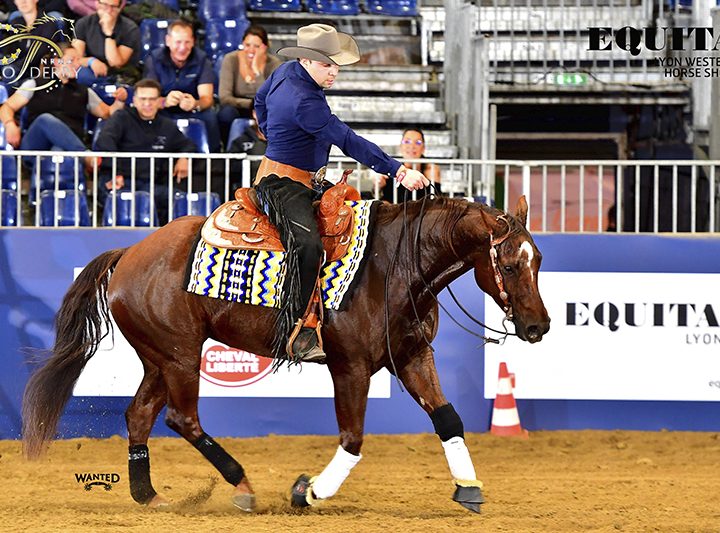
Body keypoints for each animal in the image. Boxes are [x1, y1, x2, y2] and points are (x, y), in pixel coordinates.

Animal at [23, 194, 552, 512]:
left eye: (539, 260)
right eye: (509, 264)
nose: (538, 326)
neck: (395, 266)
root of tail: (129, 253)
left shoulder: (413, 357)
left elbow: (448, 419)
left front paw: (468, 488)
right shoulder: (351, 367)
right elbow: (353, 439)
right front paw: (309, 491)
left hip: (159, 358)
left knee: (139, 415)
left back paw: (148, 495)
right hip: (180, 356)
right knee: (181, 418)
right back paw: (241, 486)